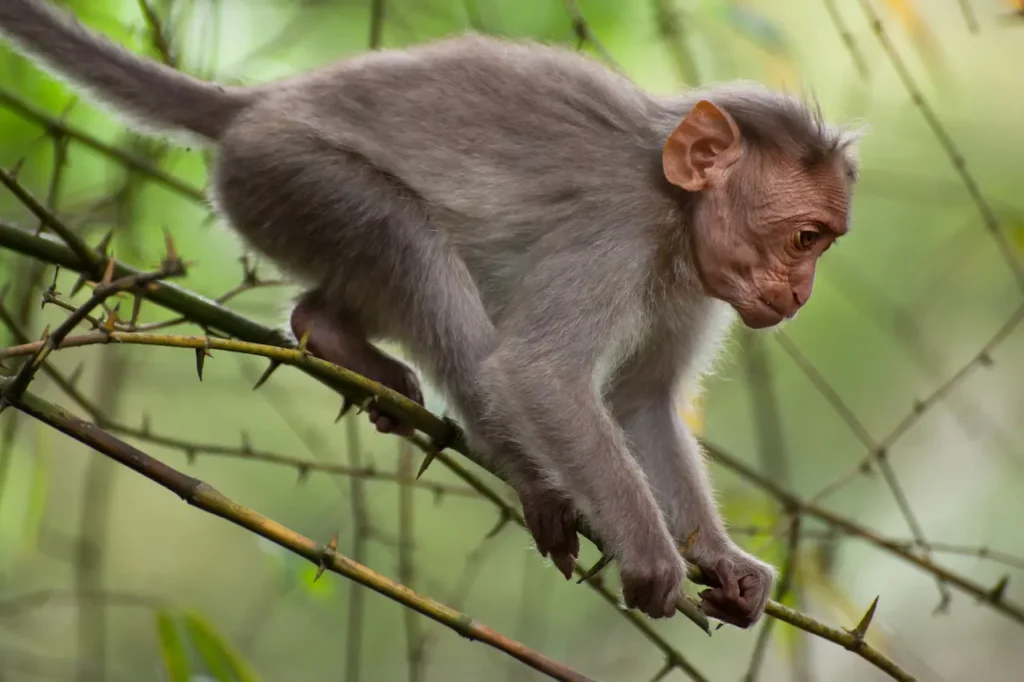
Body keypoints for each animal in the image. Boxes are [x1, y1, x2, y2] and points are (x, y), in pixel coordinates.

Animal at [0, 0, 860, 622]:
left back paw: (327, 332)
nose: (800, 292)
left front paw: (724, 562)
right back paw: (529, 477)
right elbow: (541, 375)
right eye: (804, 237)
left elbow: (642, 402)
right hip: (285, 174)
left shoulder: (692, 282)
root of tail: (261, 104)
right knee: (409, 239)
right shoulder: (615, 232)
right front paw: (653, 555)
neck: (673, 214)